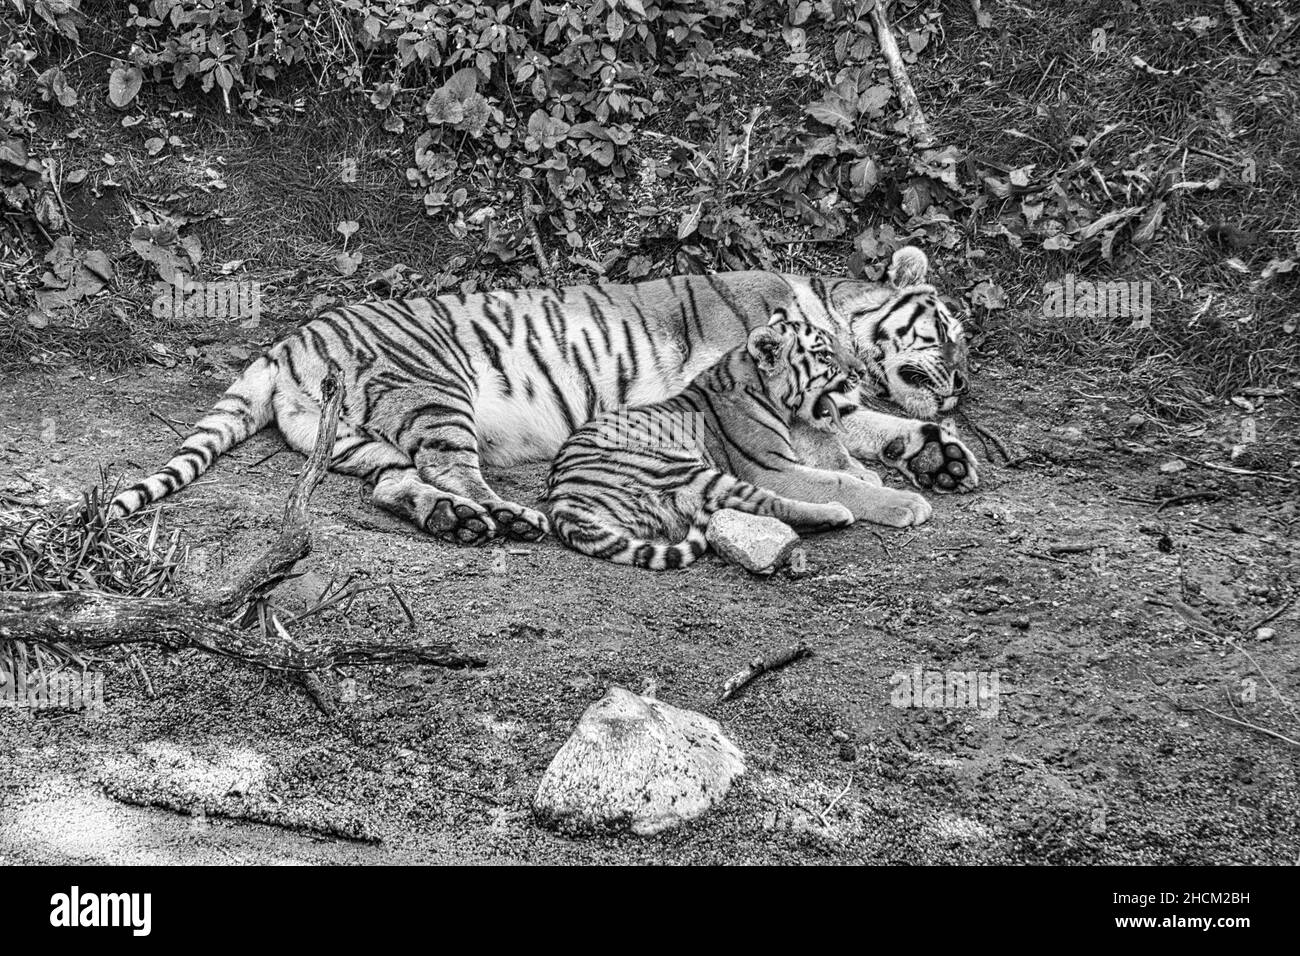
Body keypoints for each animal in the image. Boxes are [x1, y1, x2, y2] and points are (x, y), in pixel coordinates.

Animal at [109, 246, 978, 543]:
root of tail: (291, 340)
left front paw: (941, 456)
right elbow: (844, 446)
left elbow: (867, 425)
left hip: (359, 440)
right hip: (435, 391)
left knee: (397, 487)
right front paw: (909, 489)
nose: (963, 382)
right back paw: (506, 515)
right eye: (945, 329)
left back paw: (459, 522)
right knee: (456, 470)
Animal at [545, 316, 869, 570]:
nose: (862, 371)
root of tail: (563, 498)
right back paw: (836, 512)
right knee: (767, 504)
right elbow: (831, 480)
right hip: (682, 468)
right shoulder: (771, 467)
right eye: (826, 355)